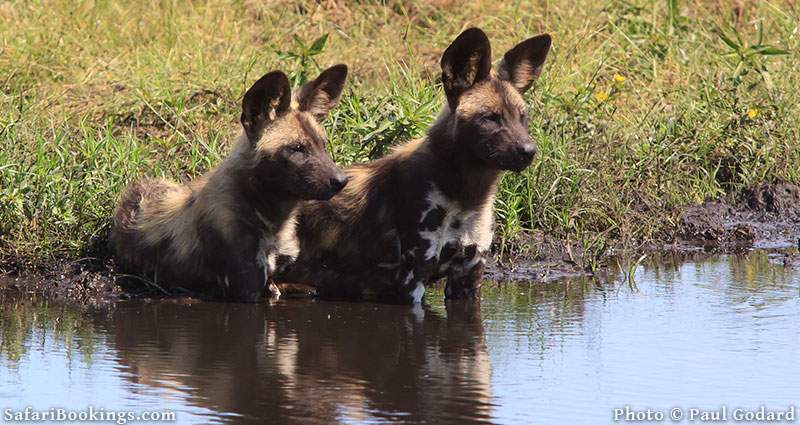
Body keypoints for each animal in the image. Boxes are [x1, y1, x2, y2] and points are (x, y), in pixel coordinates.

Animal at [111, 64, 348, 300]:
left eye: (322, 145)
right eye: (297, 148)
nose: (341, 180)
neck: (273, 219)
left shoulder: (276, 279)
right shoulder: (247, 290)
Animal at [280, 28, 552, 304]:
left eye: (522, 117)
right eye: (490, 118)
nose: (528, 151)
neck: (467, 194)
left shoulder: (469, 275)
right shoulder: (412, 279)